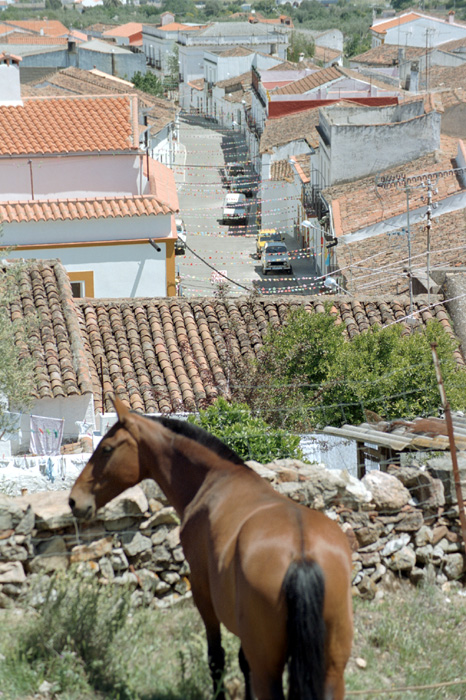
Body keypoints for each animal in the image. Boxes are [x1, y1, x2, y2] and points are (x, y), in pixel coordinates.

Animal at [70, 400, 354, 700]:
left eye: (107, 449)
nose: (74, 500)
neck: (215, 478)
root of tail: (301, 554)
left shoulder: (203, 592)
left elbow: (216, 658)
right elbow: (242, 662)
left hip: (269, 669)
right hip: (332, 672)